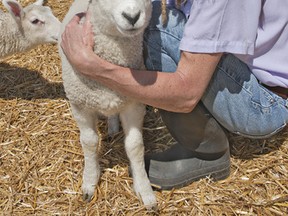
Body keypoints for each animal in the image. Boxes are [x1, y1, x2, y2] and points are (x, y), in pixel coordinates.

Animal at [58, 0, 156, 210]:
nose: (132, 17)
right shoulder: (80, 105)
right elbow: (89, 142)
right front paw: (90, 181)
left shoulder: (133, 104)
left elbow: (135, 146)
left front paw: (144, 189)